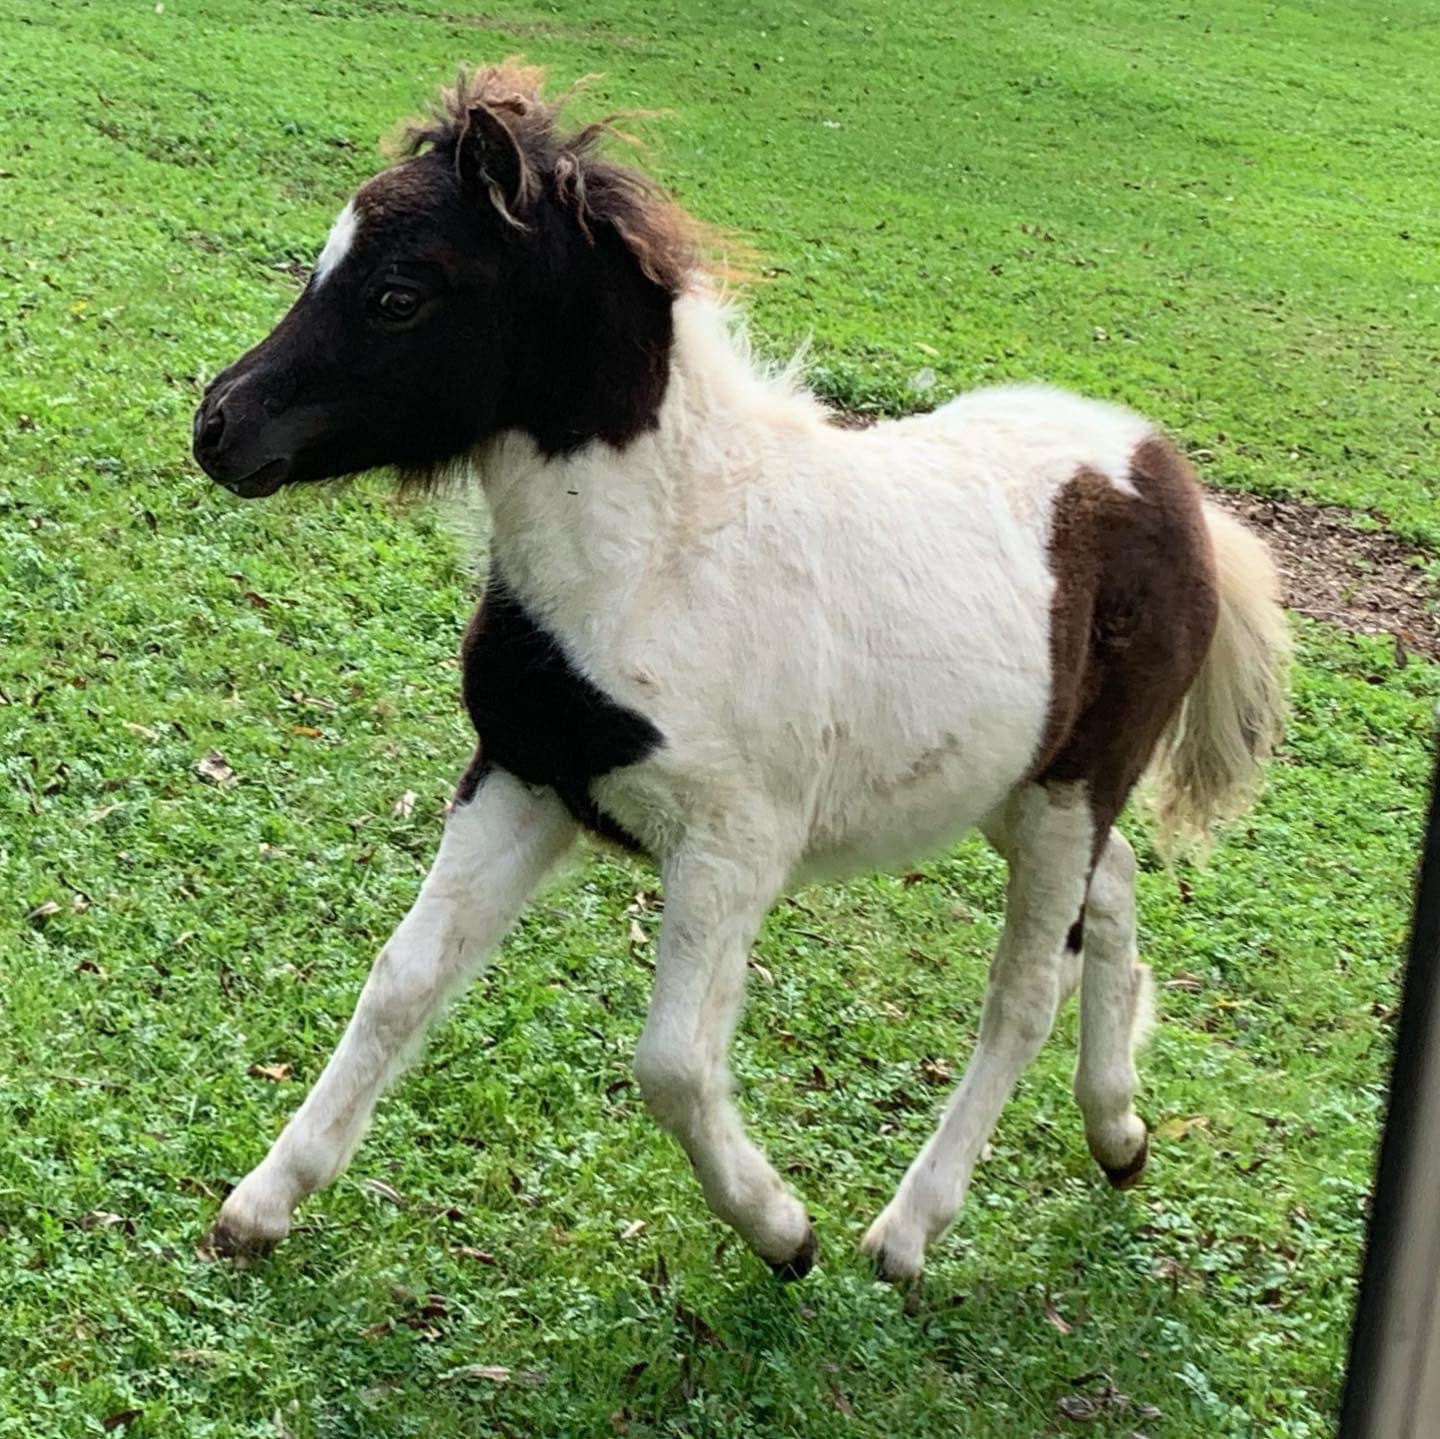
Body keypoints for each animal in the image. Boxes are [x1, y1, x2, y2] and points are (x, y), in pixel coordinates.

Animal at [192, 63, 1288, 1282]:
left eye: (397, 294)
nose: (219, 424)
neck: (656, 559)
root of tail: (1172, 480)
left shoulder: (734, 846)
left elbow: (671, 1061)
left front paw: (783, 1229)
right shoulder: (524, 776)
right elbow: (403, 977)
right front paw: (262, 1201)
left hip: (1068, 790)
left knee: (1024, 991)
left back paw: (909, 1229)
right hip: (1016, 786)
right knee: (1120, 883)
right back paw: (1119, 1131)